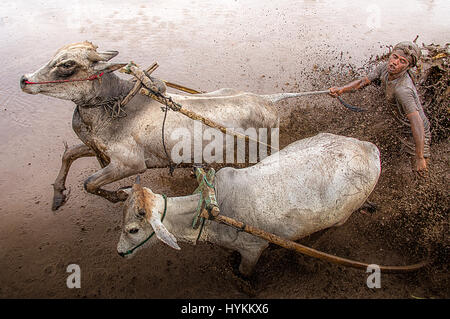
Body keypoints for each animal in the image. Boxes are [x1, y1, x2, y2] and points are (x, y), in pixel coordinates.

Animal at [115, 134, 380, 276]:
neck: (210, 209)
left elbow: (243, 272)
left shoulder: (253, 250)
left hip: (341, 218)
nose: (118, 252)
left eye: (133, 230)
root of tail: (368, 148)